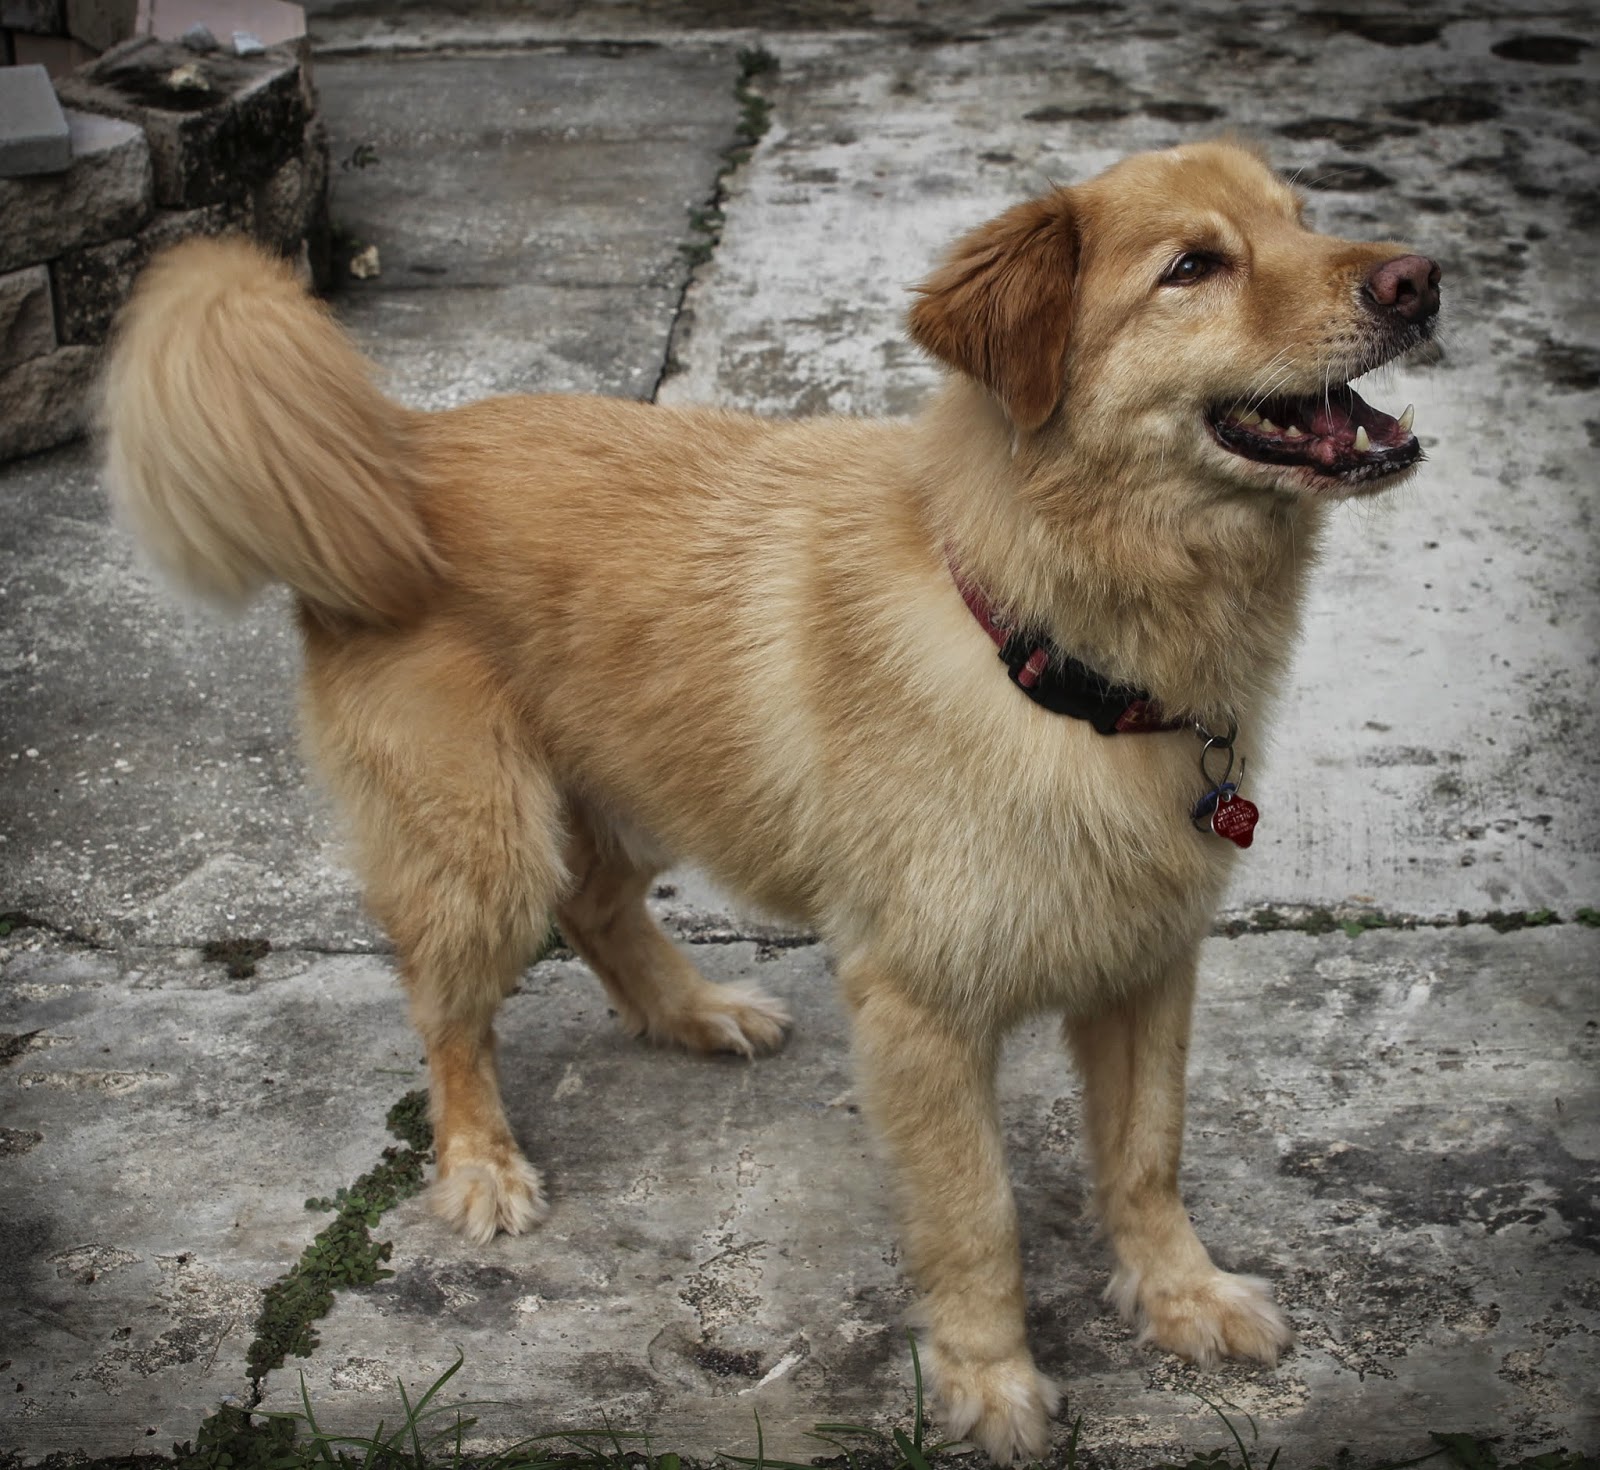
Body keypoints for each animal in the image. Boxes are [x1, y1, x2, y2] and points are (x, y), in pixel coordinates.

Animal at [101, 140, 1439, 1460]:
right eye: (1192, 267)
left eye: (1301, 219)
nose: (1418, 281)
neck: (1057, 642)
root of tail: (396, 456)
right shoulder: (922, 1011)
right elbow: (978, 1214)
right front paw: (989, 1379)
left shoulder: (1148, 967)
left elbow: (1149, 1156)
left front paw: (1179, 1295)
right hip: (489, 846)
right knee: (450, 1012)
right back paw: (480, 1161)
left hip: (648, 782)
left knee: (596, 907)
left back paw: (691, 1012)